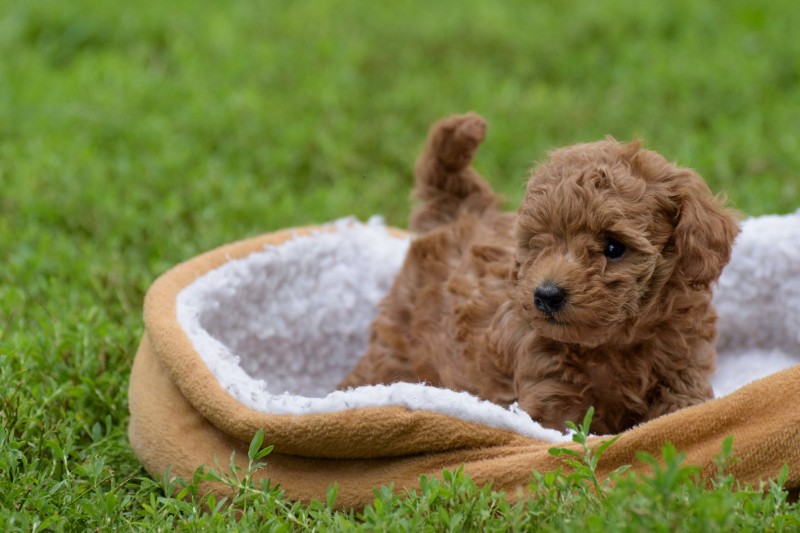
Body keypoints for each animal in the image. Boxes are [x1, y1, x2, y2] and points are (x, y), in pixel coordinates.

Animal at [340, 112, 740, 432]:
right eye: (538, 243)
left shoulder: (684, 367)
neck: (618, 344)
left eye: (614, 247)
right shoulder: (550, 387)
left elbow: (679, 408)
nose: (546, 295)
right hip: (397, 343)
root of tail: (458, 210)